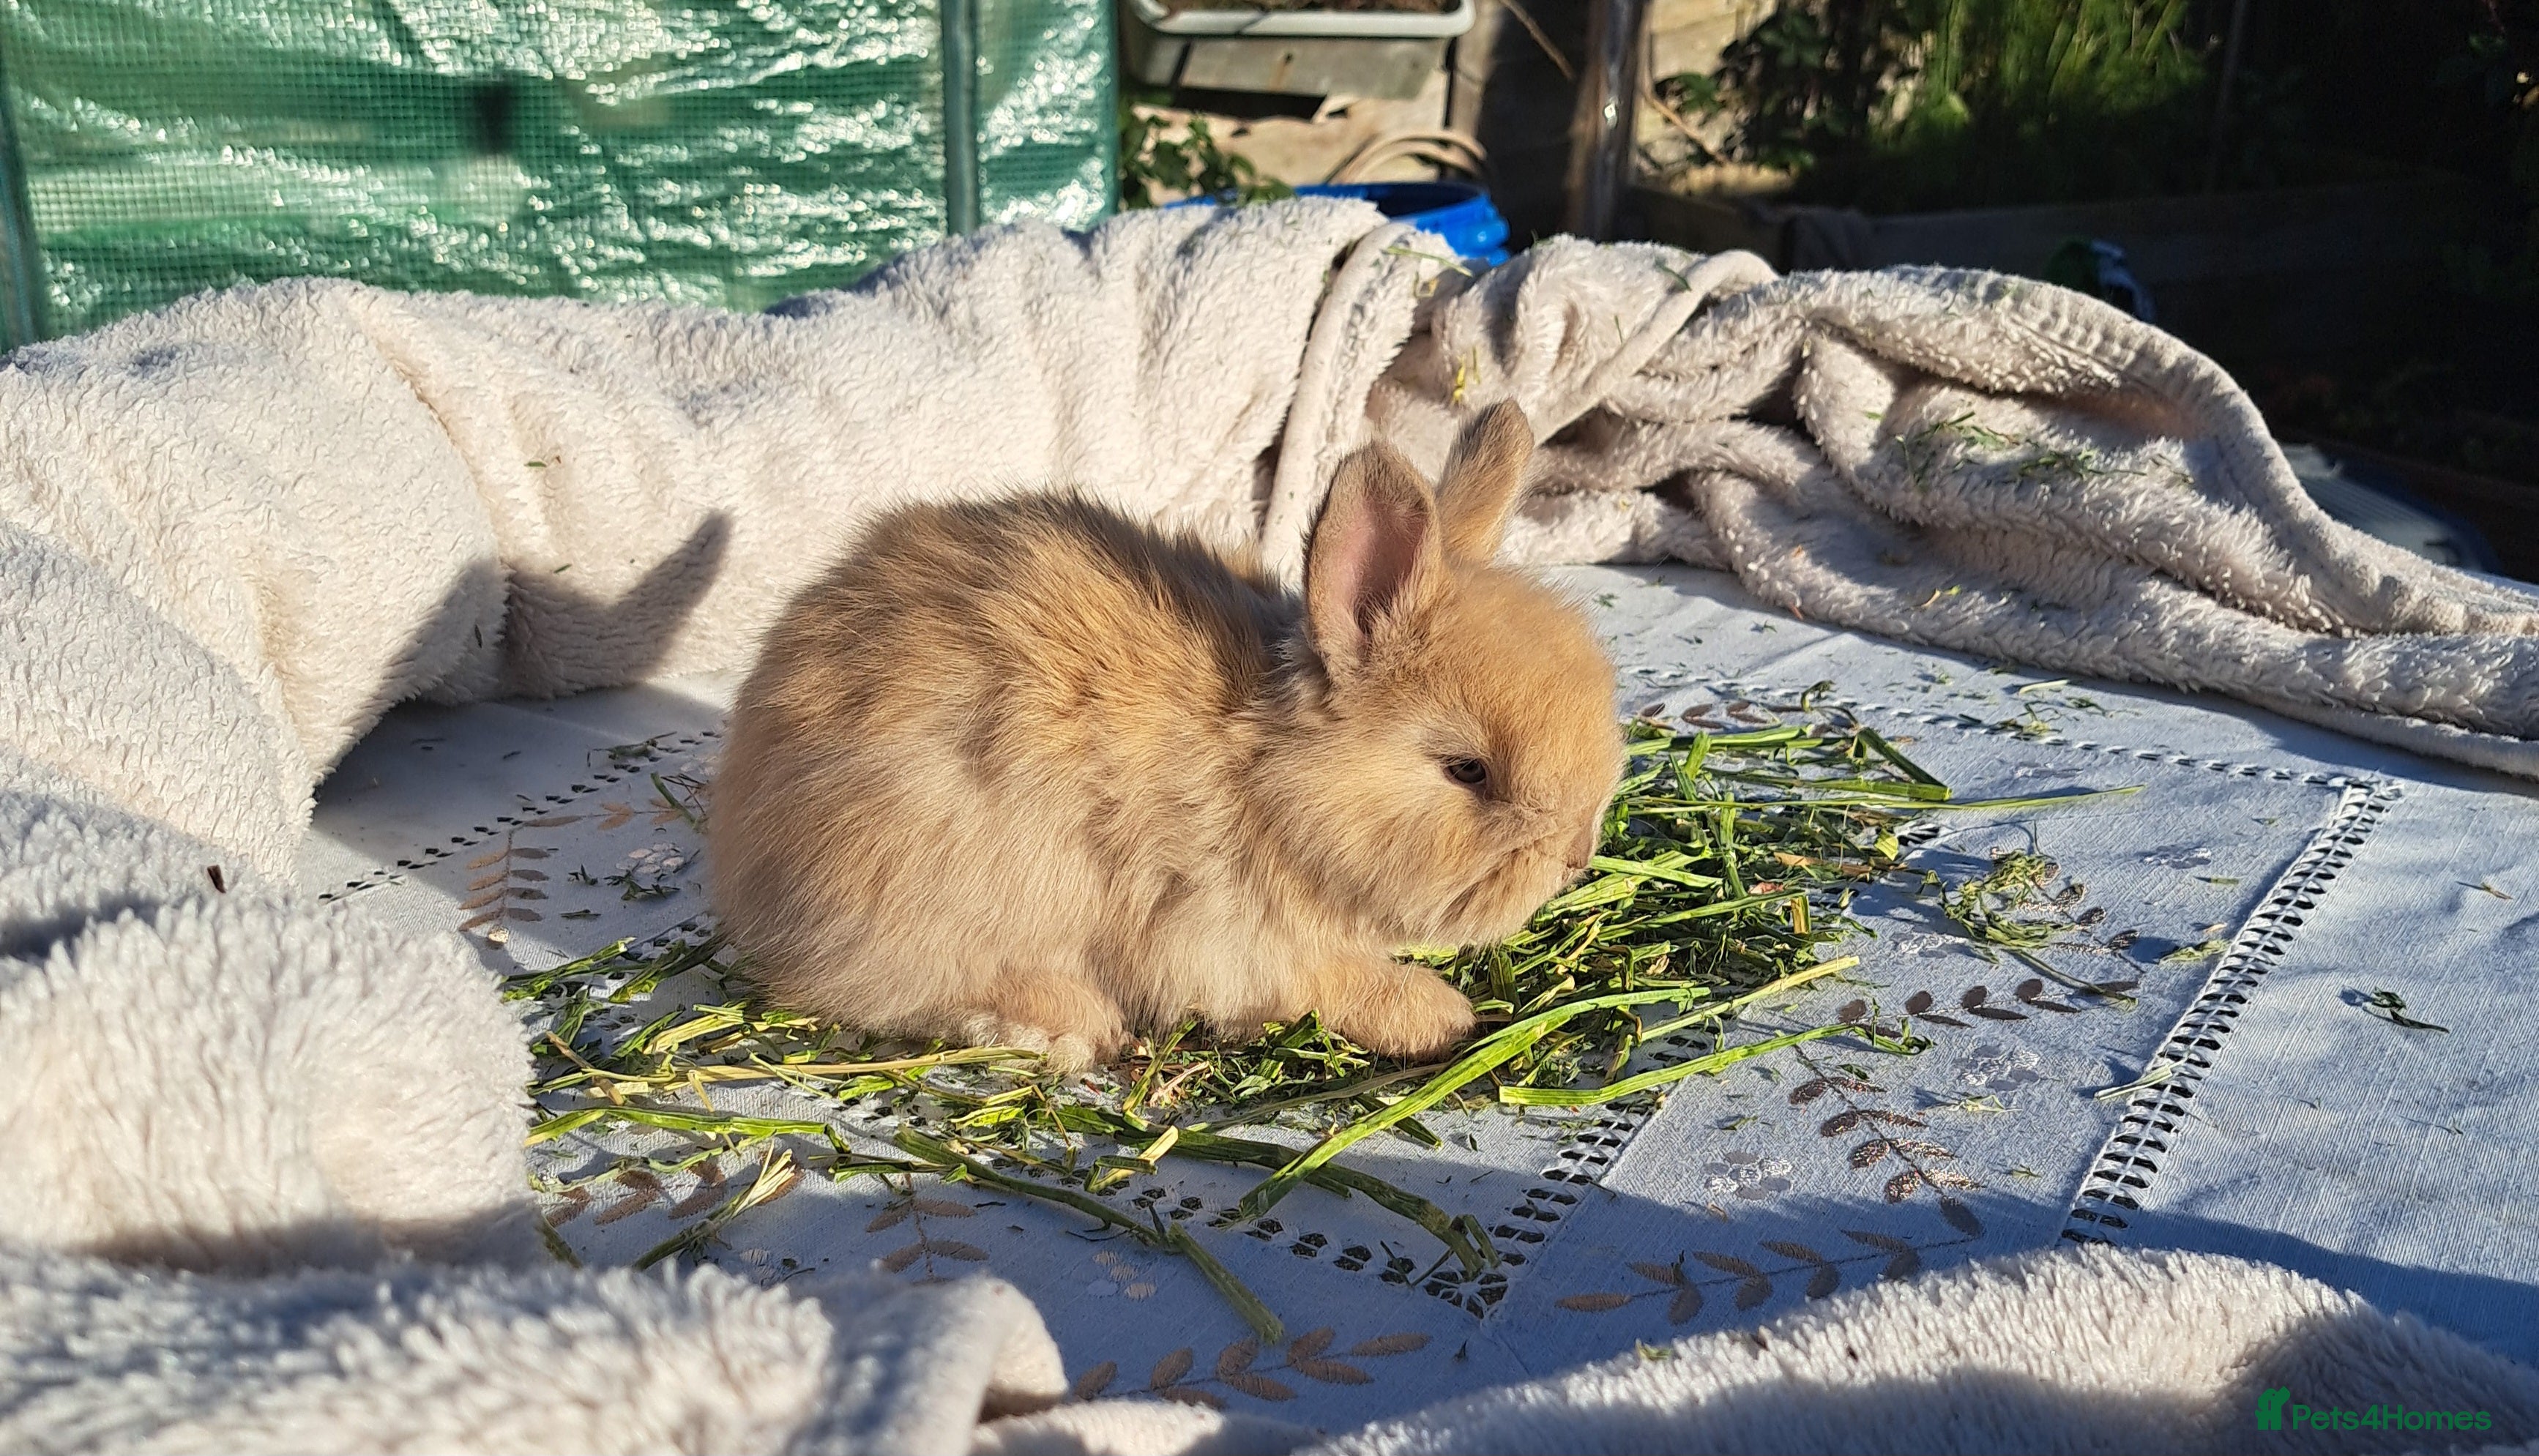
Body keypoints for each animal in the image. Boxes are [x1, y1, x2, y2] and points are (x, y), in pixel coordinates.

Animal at [708, 402, 1624, 1073]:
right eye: (1467, 770)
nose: (1575, 857)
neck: (1269, 780)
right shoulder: (1232, 942)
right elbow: (1340, 984)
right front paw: (1443, 1015)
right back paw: (1078, 1026)